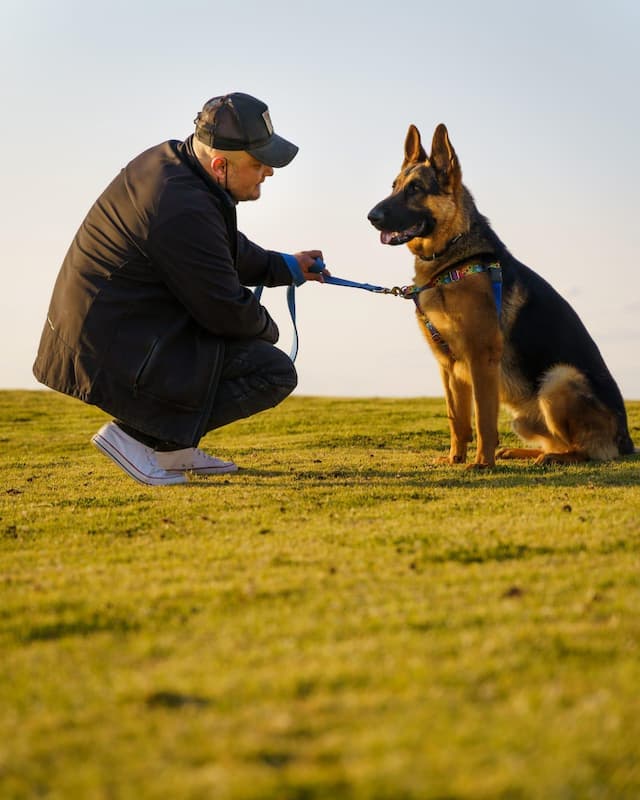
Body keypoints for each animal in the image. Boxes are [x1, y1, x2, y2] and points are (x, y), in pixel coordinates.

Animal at [368, 125, 632, 468]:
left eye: (415, 189)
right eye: (395, 186)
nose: (371, 216)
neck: (453, 256)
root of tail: (627, 441)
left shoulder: (481, 357)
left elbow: (482, 419)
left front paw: (482, 462)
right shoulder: (447, 365)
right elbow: (457, 419)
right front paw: (455, 458)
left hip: (558, 379)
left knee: (584, 451)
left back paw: (551, 458)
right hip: (524, 416)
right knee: (555, 442)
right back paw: (525, 452)